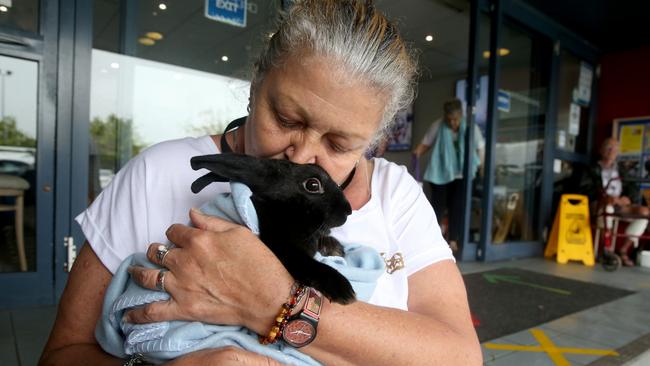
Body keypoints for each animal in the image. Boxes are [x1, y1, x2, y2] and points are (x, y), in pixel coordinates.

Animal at [190, 153, 356, 304]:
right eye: (313, 185)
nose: (348, 210)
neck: (282, 210)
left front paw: (336, 249)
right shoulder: (281, 248)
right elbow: (306, 264)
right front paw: (344, 291)